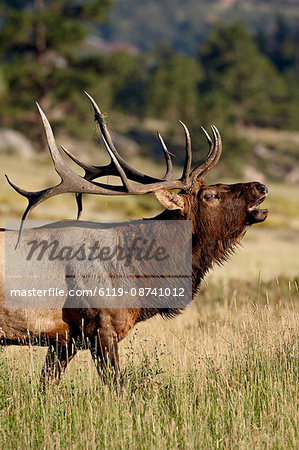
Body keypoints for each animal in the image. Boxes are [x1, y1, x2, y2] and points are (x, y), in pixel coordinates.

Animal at [0, 94, 270, 384]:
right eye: (210, 195)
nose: (261, 186)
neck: (140, 277)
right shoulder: (101, 325)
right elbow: (117, 384)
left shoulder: (66, 339)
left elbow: (46, 383)